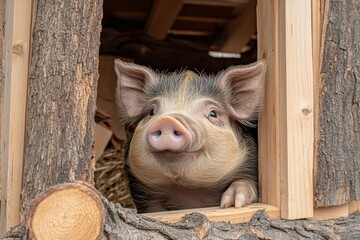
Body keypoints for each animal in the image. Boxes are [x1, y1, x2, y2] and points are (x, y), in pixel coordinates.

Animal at [114, 59, 266, 213]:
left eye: (213, 113)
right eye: (151, 111)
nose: (168, 120)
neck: (189, 189)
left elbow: (244, 182)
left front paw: (231, 203)